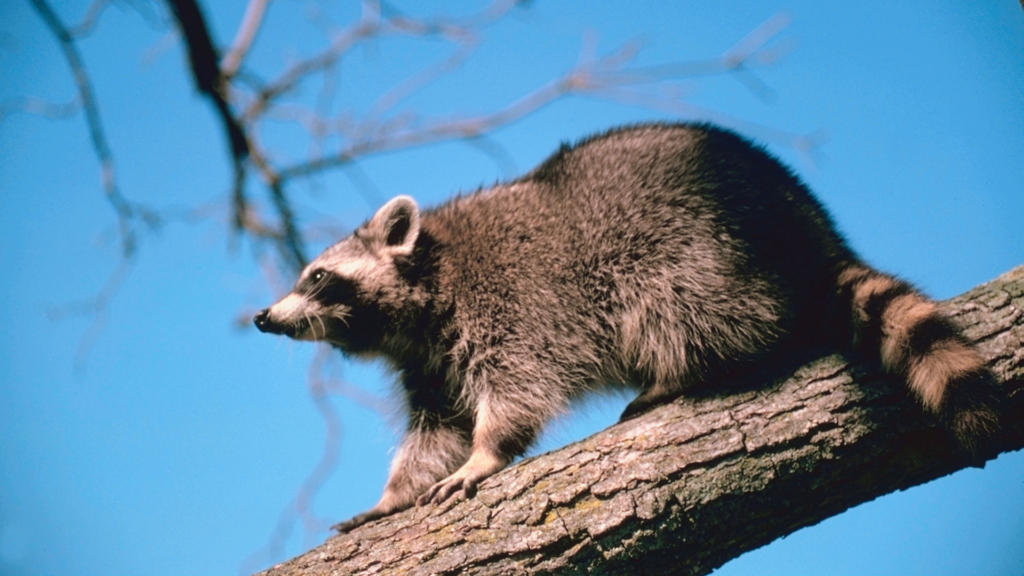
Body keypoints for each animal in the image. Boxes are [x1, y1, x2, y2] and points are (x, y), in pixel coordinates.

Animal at [253, 123, 999, 532]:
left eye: (315, 277)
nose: (262, 317)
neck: (426, 288)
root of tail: (810, 226)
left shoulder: (511, 308)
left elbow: (518, 392)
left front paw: (487, 452)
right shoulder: (427, 360)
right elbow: (435, 430)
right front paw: (393, 494)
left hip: (700, 247)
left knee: (683, 307)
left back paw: (686, 371)